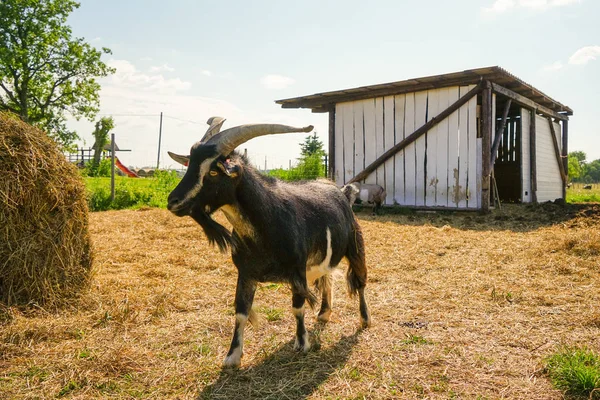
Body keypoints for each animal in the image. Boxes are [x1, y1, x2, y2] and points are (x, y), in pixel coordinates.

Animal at [165, 117, 370, 368]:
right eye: (189, 165)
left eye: (212, 171)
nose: (173, 201)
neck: (266, 223)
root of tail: (343, 192)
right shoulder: (245, 273)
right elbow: (241, 311)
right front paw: (232, 356)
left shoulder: (297, 270)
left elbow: (297, 307)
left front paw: (302, 343)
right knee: (328, 277)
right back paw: (324, 313)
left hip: (356, 244)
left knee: (360, 281)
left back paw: (364, 319)